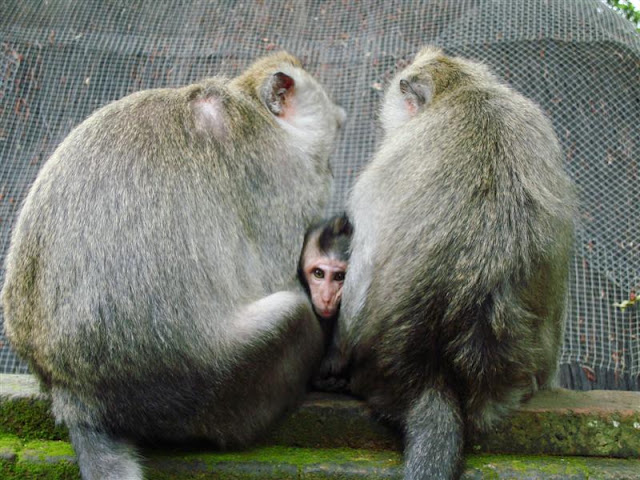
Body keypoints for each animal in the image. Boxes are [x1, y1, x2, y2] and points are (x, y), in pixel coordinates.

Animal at [2, 51, 345, 480]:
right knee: (291, 314)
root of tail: (74, 394)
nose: (333, 169)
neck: (250, 103)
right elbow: (282, 273)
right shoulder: (281, 179)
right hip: (208, 382)